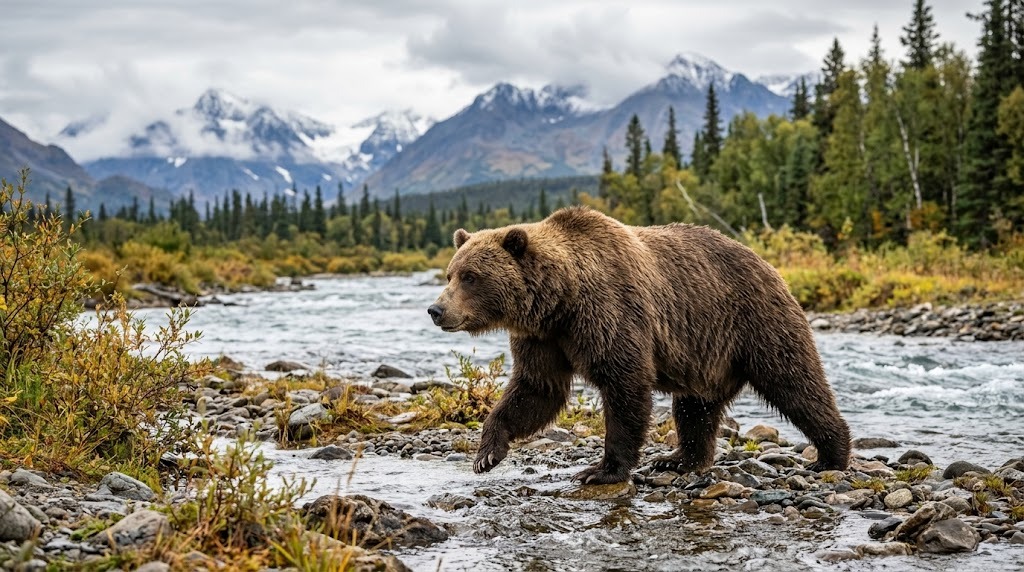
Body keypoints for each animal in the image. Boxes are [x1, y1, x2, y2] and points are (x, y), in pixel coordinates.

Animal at [427, 206, 850, 484]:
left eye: (470, 276)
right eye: (450, 273)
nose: (436, 309)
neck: (561, 300)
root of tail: (768, 264)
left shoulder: (610, 313)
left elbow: (624, 385)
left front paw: (601, 470)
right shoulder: (543, 338)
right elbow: (537, 389)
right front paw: (487, 453)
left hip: (755, 322)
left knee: (795, 382)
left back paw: (831, 455)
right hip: (706, 355)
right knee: (695, 408)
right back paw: (678, 459)